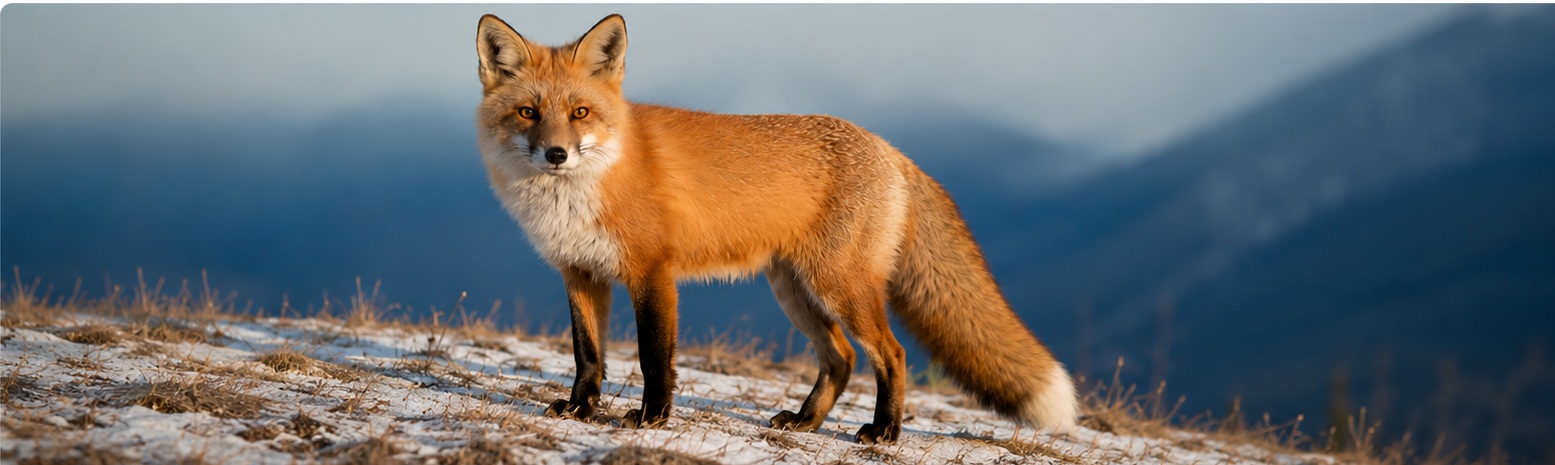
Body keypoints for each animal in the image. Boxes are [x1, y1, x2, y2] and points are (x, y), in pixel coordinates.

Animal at [473, 13, 1078, 444]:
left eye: (579, 113)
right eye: (528, 113)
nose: (556, 155)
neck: (587, 186)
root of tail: (891, 150)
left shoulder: (652, 272)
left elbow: (653, 356)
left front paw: (651, 419)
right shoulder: (580, 272)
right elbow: (587, 354)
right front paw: (580, 408)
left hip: (838, 287)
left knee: (891, 353)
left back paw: (885, 432)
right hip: (795, 291)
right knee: (842, 359)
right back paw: (807, 422)